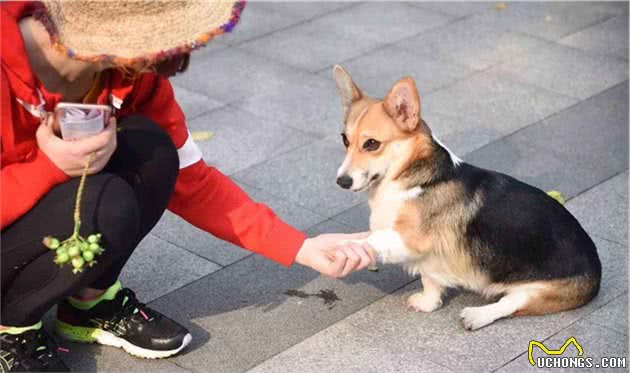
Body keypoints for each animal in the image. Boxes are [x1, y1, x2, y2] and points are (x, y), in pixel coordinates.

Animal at [334, 65, 604, 330]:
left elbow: (372, 239)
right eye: (345, 139)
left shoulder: (412, 238)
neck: (415, 178)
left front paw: (344, 248)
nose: (341, 181)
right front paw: (428, 303)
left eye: (371, 144)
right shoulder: (428, 256)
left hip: (539, 291)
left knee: (510, 304)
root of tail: (597, 268)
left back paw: (477, 316)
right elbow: (429, 280)